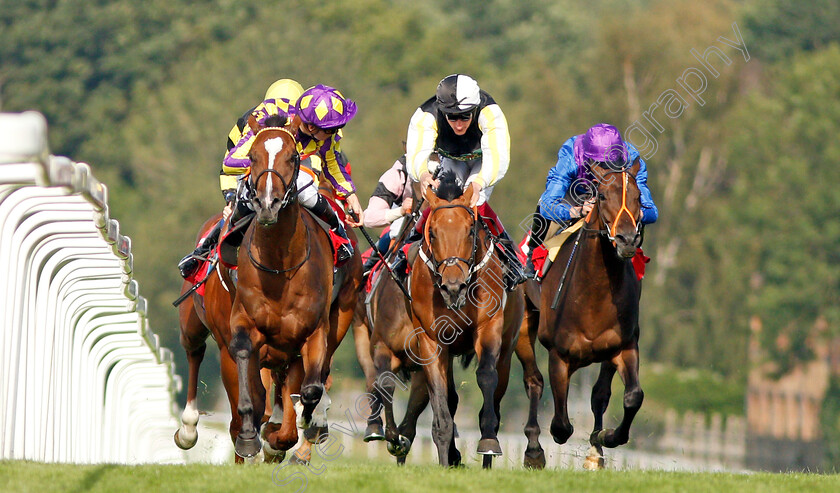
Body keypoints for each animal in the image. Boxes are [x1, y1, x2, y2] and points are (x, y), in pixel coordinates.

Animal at [230, 115, 360, 458]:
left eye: (292, 157)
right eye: (252, 157)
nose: (267, 204)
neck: (278, 264)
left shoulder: (313, 330)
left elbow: (311, 388)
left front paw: (306, 424)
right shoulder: (245, 320)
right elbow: (243, 354)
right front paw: (250, 435)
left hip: (341, 315)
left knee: (315, 376)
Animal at [536, 158, 648, 468]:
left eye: (638, 197)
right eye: (603, 196)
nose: (626, 239)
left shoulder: (624, 346)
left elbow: (632, 396)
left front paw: (606, 438)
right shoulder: (559, 355)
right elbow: (561, 425)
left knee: (600, 394)